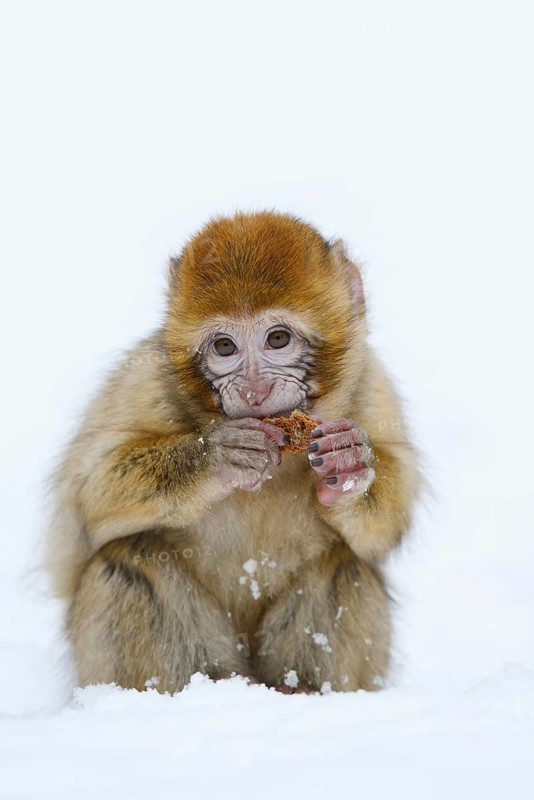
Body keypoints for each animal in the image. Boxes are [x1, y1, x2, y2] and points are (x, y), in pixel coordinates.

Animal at [45, 211, 420, 695]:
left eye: (277, 339)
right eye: (225, 347)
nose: (253, 390)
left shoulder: (372, 384)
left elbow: (384, 531)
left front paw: (349, 465)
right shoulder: (144, 379)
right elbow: (88, 495)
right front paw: (219, 458)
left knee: (346, 563)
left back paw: (300, 687)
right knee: (127, 559)